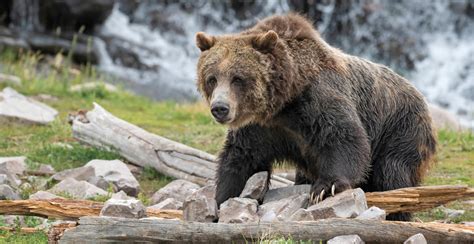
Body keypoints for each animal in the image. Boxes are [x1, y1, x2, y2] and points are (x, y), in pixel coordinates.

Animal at [193, 12, 436, 221]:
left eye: (238, 78)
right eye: (212, 78)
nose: (220, 108)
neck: (284, 102)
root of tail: (420, 96)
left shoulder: (317, 100)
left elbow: (345, 138)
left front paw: (325, 187)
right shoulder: (261, 128)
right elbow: (241, 159)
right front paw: (221, 199)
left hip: (401, 129)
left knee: (393, 173)